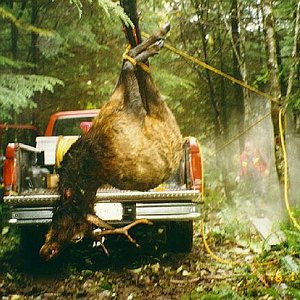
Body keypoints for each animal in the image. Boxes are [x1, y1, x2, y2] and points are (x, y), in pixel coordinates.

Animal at [38, 24, 182, 262]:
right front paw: (149, 46)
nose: (47, 251)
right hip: (159, 113)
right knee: (149, 85)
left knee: (143, 76)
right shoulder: (132, 107)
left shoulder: (130, 106)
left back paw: (155, 39)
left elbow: (127, 62)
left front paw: (147, 45)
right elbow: (128, 64)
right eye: (77, 235)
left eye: (66, 223)